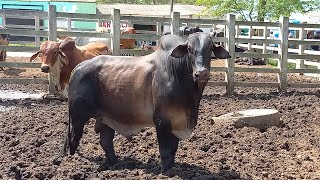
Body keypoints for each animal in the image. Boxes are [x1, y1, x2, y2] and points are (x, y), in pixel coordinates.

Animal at [62, 32, 231, 172]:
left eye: (210, 49)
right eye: (190, 49)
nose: (201, 73)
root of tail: (78, 67)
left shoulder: (176, 120)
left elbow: (173, 150)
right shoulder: (162, 120)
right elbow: (165, 150)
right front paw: (166, 172)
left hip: (106, 118)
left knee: (106, 141)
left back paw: (116, 163)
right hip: (77, 116)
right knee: (74, 138)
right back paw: (72, 159)